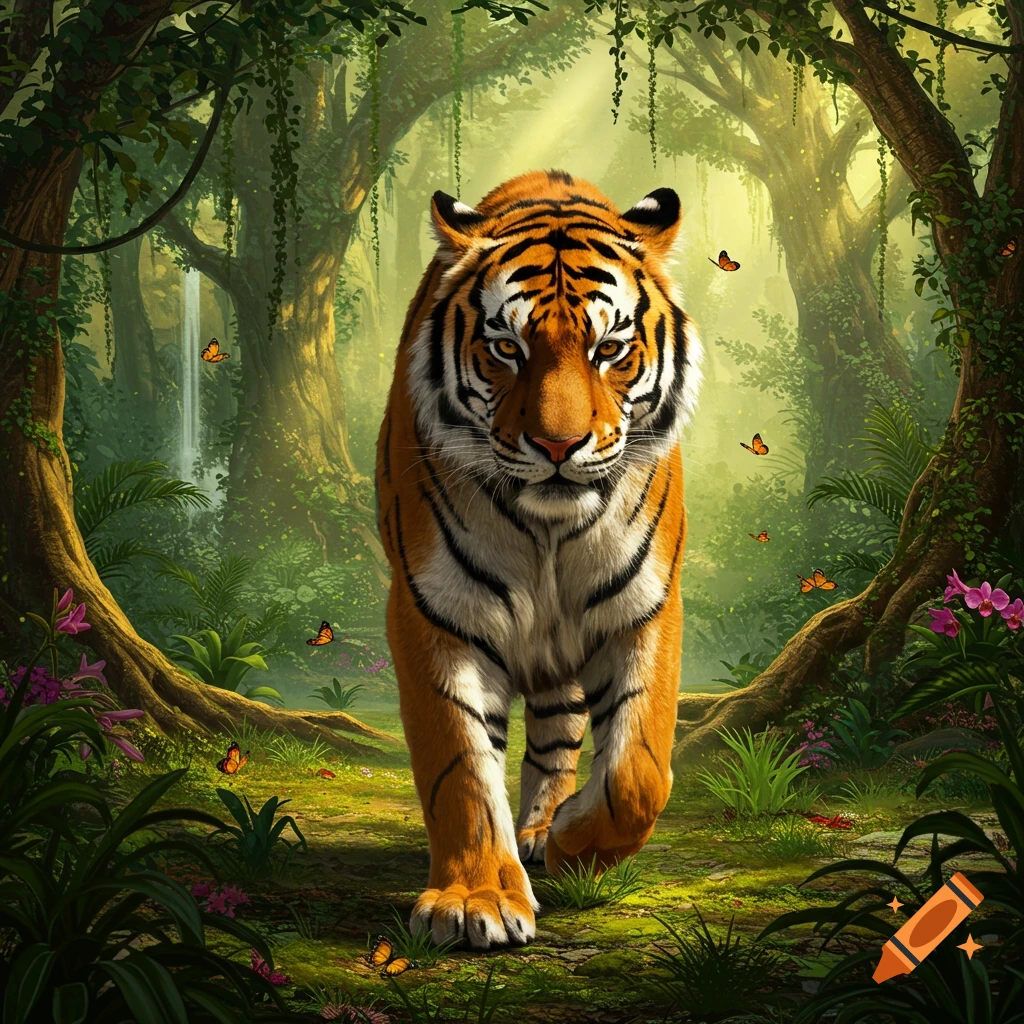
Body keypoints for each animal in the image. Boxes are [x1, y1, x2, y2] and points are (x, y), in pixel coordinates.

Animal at [374, 169, 701, 951]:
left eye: (609, 349)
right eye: (506, 348)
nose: (558, 446)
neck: (550, 533)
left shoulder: (645, 605)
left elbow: (640, 770)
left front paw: (573, 841)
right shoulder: (433, 611)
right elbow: (460, 764)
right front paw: (475, 902)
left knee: (558, 738)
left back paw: (540, 830)